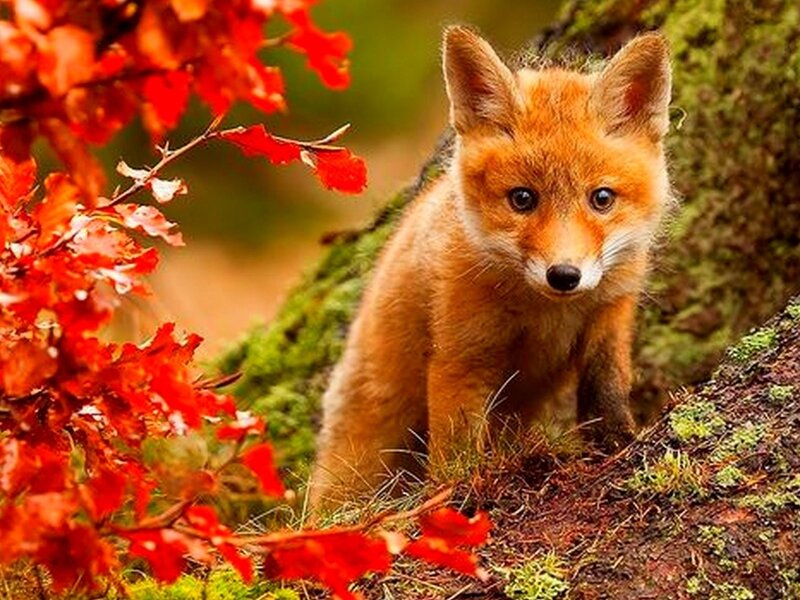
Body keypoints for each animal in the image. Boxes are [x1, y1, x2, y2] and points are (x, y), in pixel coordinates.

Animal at [309, 26, 672, 511]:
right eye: (522, 199)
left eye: (602, 199)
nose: (564, 275)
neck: (546, 313)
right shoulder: (462, 354)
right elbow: (456, 447)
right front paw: (455, 496)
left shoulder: (610, 315)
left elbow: (607, 388)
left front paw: (617, 443)